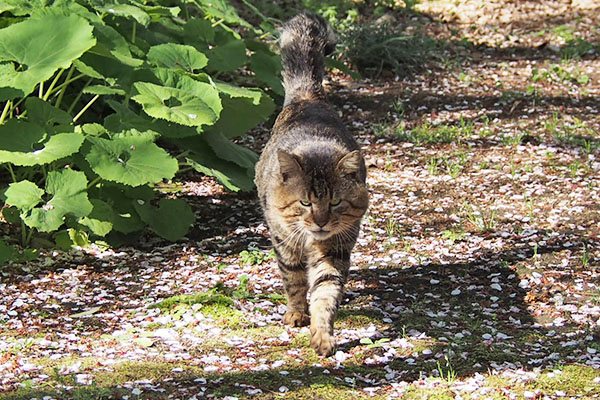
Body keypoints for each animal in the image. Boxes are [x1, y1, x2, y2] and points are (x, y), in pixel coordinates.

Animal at [254, 13, 370, 356]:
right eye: (305, 202)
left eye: (335, 202)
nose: (320, 221)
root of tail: (309, 96)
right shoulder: (284, 242)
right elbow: (293, 281)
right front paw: (296, 313)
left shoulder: (335, 249)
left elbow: (325, 292)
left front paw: (322, 334)